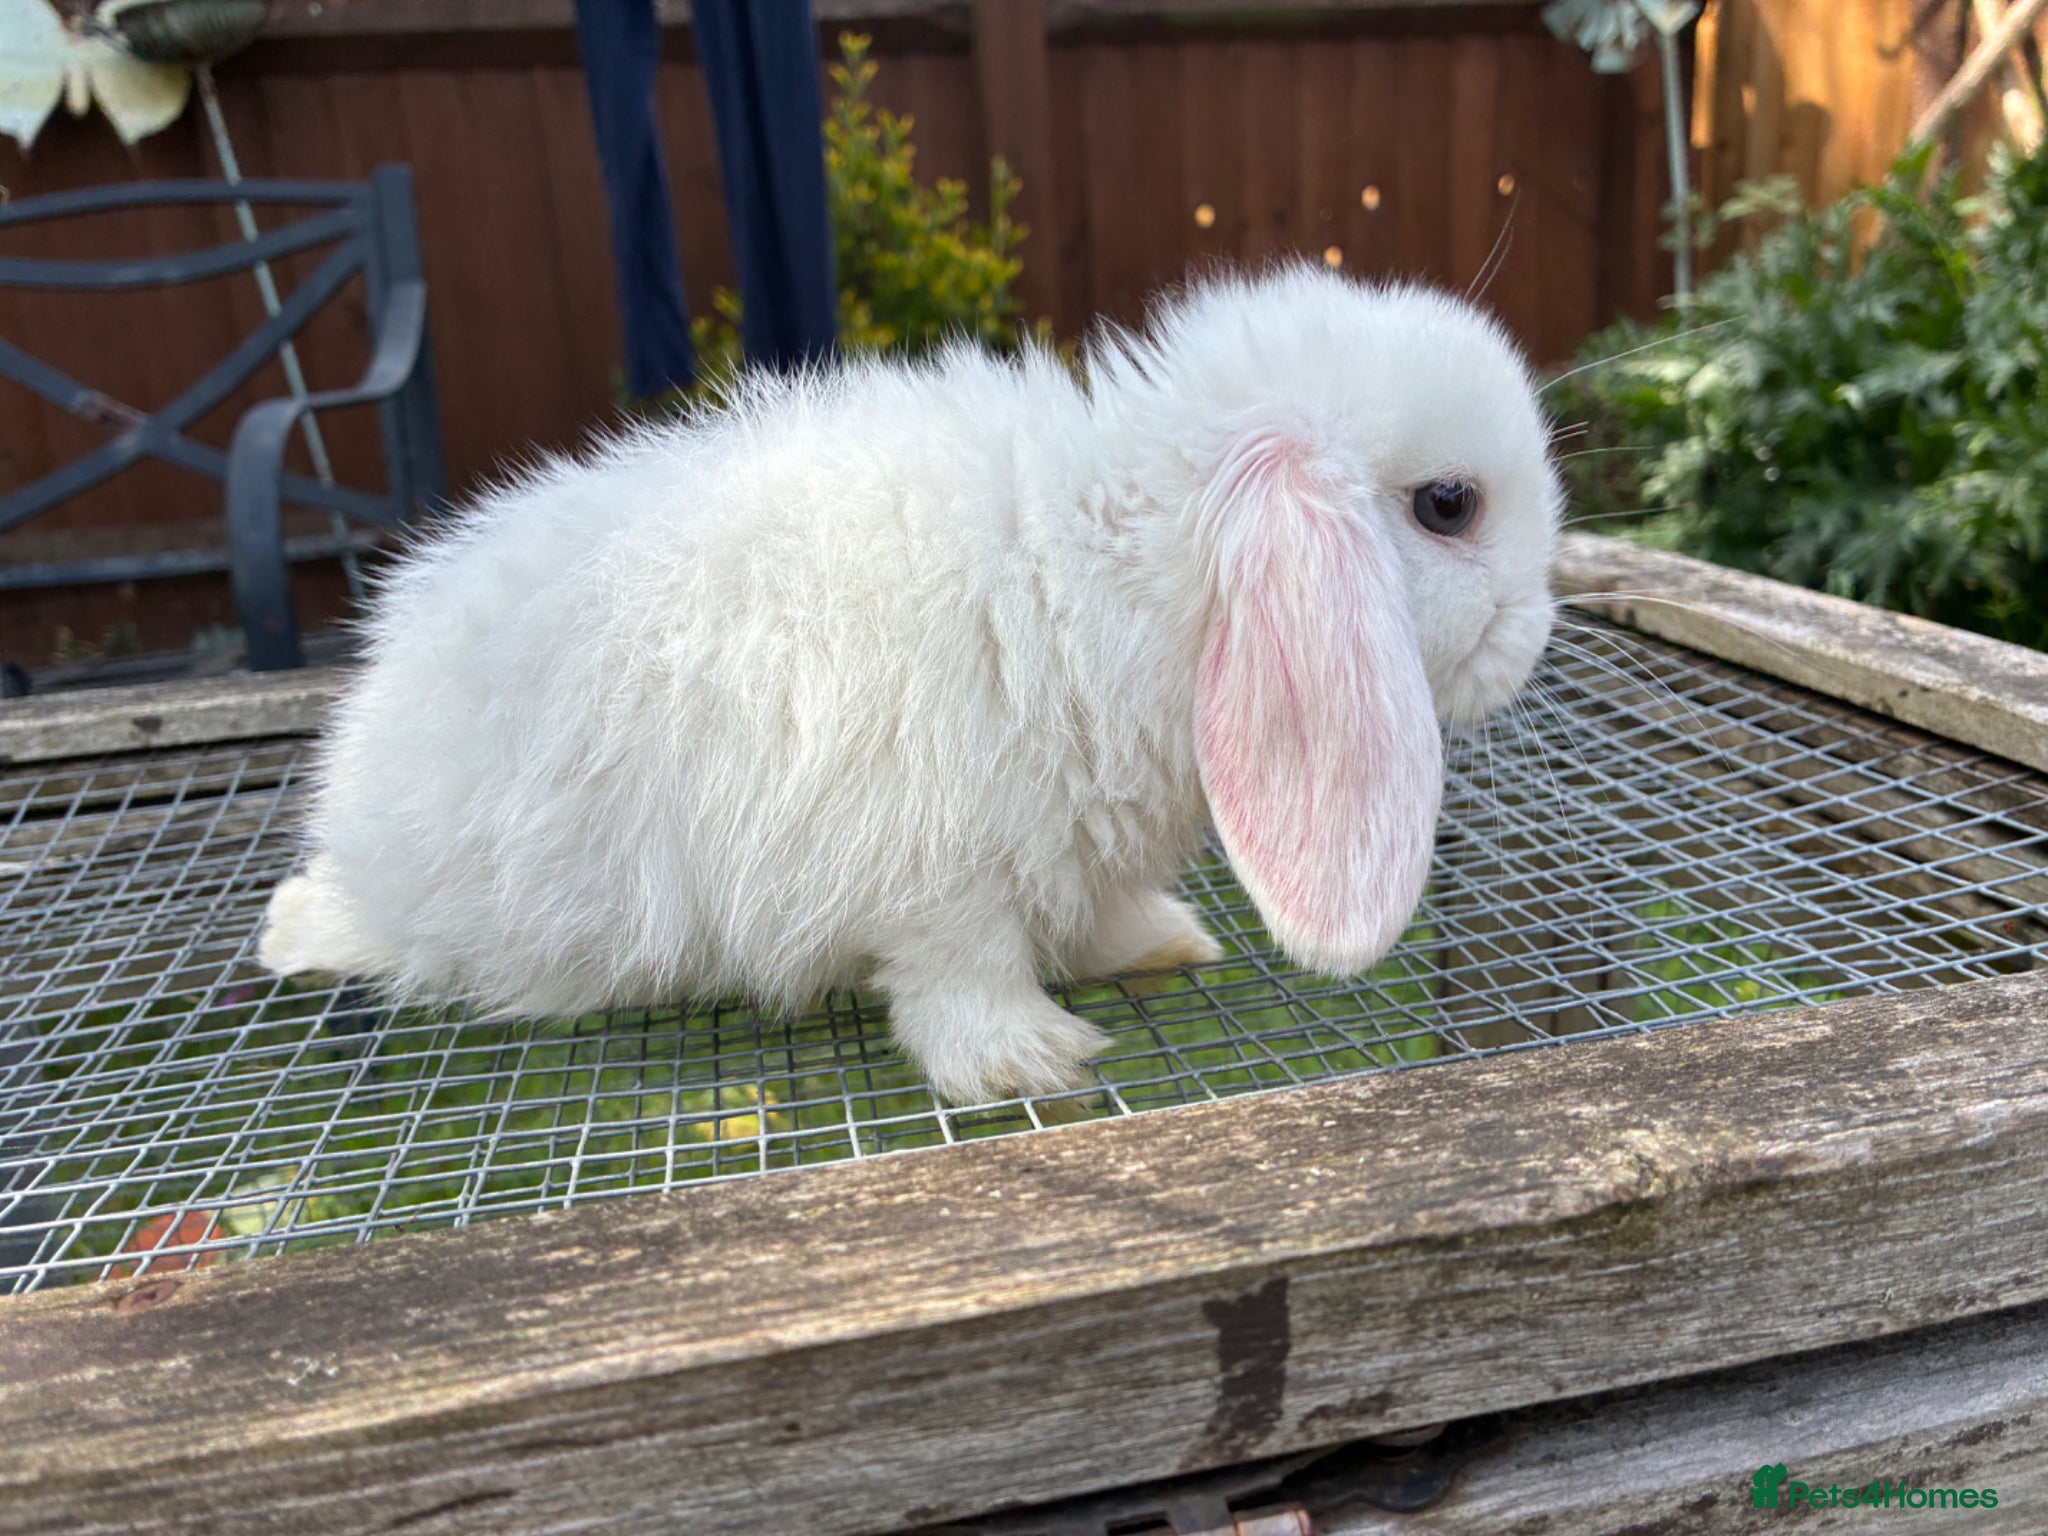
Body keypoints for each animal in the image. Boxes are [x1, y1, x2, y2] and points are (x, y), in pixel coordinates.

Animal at [260, 263, 1562, 1105]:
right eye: (1448, 505)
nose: (1535, 633)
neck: (1117, 574)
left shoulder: (1062, 855)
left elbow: (1095, 916)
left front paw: (1160, 944)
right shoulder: (934, 873)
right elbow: (958, 979)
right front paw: (1029, 1060)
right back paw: (296, 932)